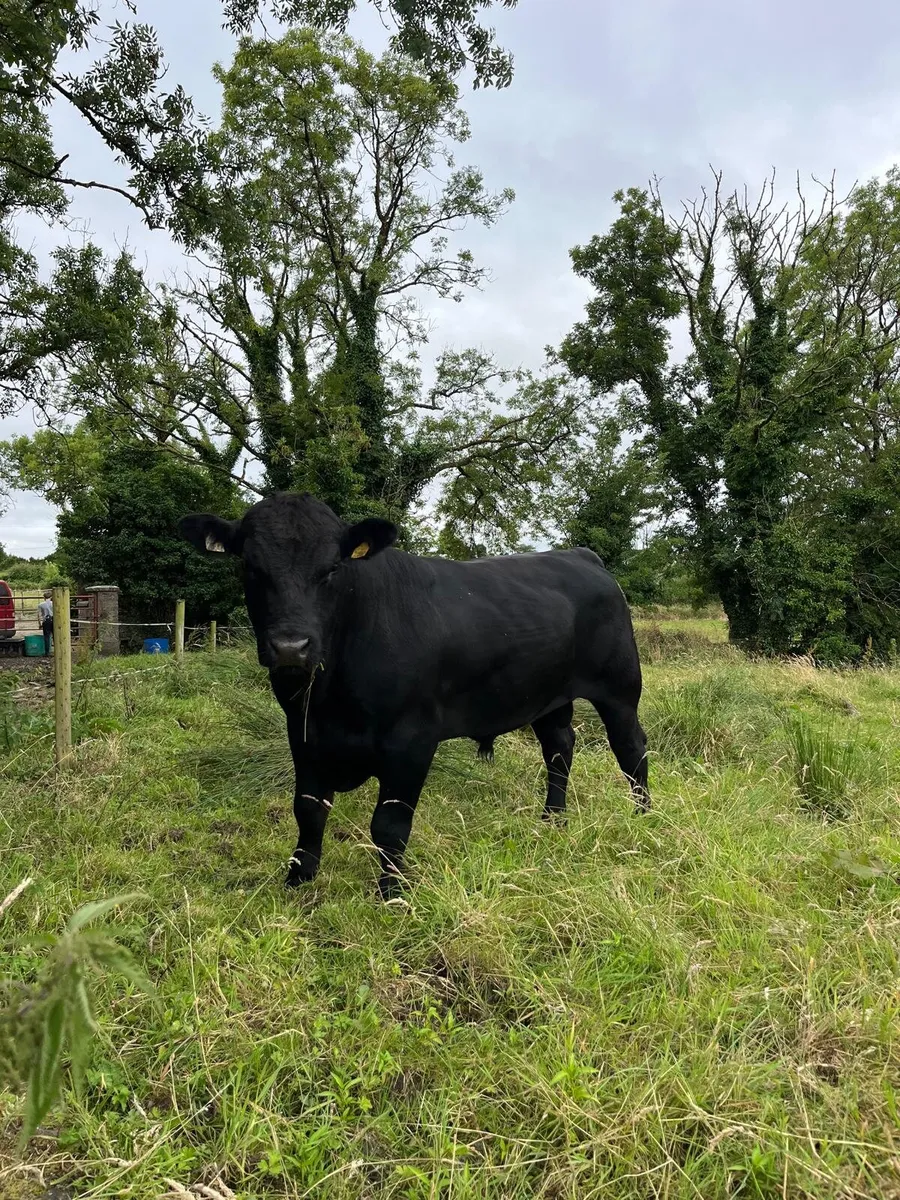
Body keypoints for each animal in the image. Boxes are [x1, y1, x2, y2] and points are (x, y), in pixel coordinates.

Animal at [179, 492, 649, 898]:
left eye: (332, 569)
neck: (335, 697)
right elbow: (308, 810)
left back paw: (643, 817)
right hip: (548, 697)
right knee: (558, 749)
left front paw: (391, 893)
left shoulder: (411, 740)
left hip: (620, 689)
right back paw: (552, 820)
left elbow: (389, 824)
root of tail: (578, 555)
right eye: (250, 567)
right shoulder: (303, 732)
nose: (290, 647)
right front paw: (298, 880)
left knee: (631, 748)